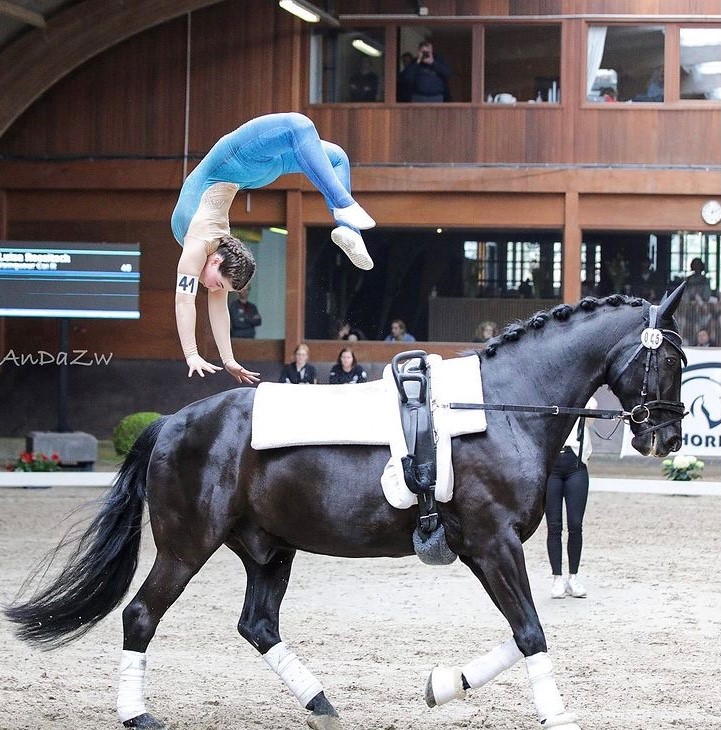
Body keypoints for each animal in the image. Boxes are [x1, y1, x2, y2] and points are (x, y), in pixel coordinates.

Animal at [4, 286, 688, 728]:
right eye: (671, 358)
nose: (669, 438)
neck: (502, 406)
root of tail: (171, 421)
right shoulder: (493, 545)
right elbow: (530, 632)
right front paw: (556, 712)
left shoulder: (483, 550)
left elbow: (521, 636)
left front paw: (443, 685)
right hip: (186, 545)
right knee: (142, 615)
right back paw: (138, 714)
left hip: (268, 549)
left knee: (258, 624)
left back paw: (322, 705)